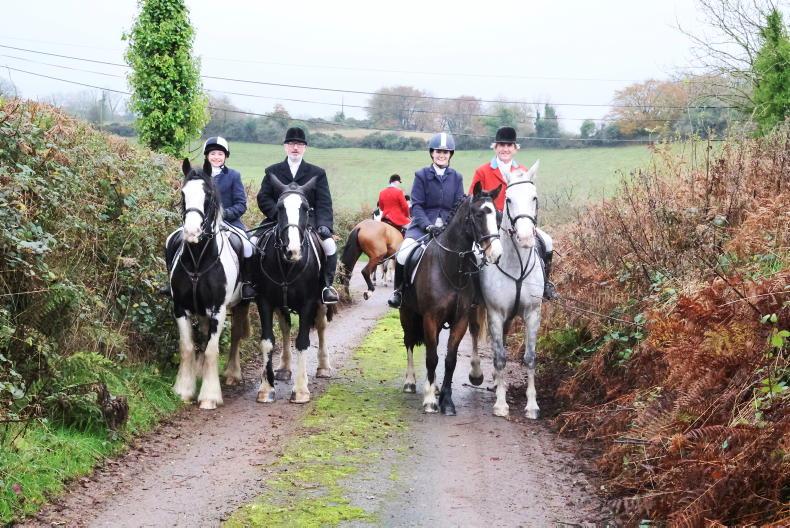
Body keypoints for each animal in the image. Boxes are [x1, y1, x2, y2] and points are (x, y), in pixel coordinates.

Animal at [166, 159, 250, 410]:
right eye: (183, 193)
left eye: (208, 195)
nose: (192, 232)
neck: (197, 259)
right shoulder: (181, 307)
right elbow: (187, 347)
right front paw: (184, 390)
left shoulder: (218, 309)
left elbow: (213, 349)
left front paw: (210, 396)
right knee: (202, 338)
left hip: (241, 304)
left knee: (235, 335)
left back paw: (232, 374)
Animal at [252, 178, 332, 404]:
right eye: (280, 208)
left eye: (306, 208)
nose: (293, 250)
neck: (288, 266)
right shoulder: (265, 301)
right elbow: (268, 341)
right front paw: (266, 388)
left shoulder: (308, 303)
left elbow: (303, 342)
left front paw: (301, 390)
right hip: (282, 304)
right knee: (286, 327)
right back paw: (284, 368)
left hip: (320, 303)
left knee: (321, 327)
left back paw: (324, 367)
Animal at [399, 182, 503, 415]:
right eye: (478, 214)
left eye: (498, 216)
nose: (497, 254)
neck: (450, 266)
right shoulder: (430, 317)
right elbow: (431, 357)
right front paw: (430, 401)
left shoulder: (460, 319)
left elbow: (449, 359)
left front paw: (446, 401)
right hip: (407, 313)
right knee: (409, 342)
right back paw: (410, 382)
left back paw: (435, 387)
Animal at [469, 161, 544, 418]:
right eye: (508, 199)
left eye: (534, 197)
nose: (525, 237)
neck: (515, 265)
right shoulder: (495, 313)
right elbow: (500, 356)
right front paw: (501, 404)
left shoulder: (533, 313)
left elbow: (530, 358)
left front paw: (532, 405)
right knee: (477, 334)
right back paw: (479, 374)